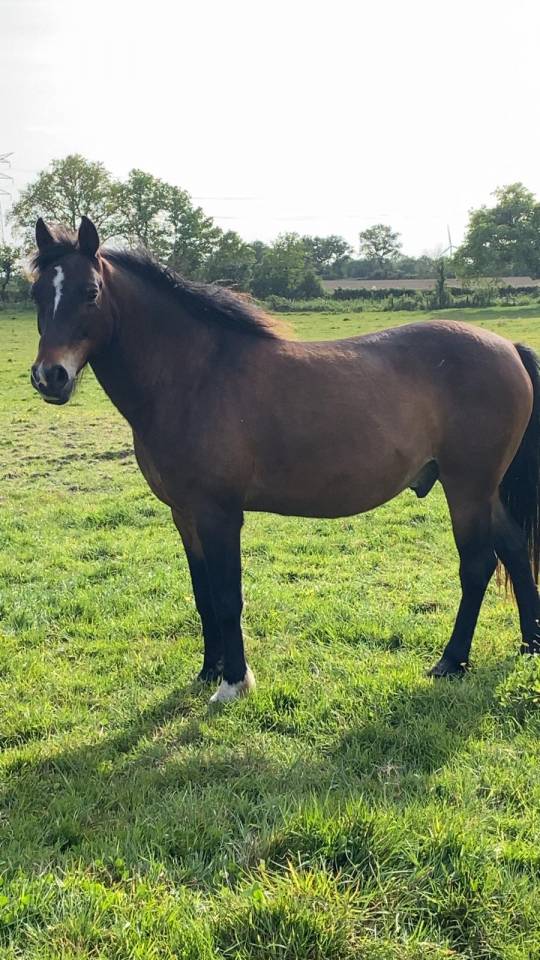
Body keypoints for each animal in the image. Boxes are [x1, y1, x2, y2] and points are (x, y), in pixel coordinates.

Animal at [29, 216, 540, 702]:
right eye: (37, 294)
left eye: (90, 292)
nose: (50, 376)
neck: (194, 377)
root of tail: (508, 348)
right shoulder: (184, 514)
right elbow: (203, 595)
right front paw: (208, 670)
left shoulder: (219, 514)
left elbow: (227, 597)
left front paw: (234, 682)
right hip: (485, 490)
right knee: (515, 548)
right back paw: (529, 646)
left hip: (467, 487)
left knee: (477, 564)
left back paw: (451, 661)